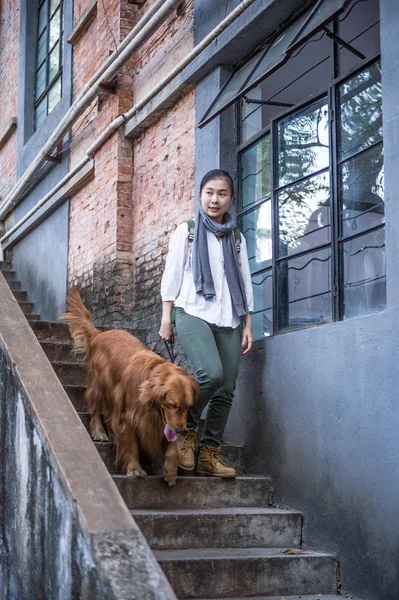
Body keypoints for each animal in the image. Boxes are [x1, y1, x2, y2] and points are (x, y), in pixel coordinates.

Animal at [63, 288, 199, 486]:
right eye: (172, 405)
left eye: (188, 406)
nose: (182, 430)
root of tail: (99, 333)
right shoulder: (128, 417)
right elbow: (131, 444)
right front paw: (135, 469)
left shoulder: (164, 422)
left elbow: (172, 446)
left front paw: (170, 471)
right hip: (98, 386)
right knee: (95, 409)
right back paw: (99, 432)